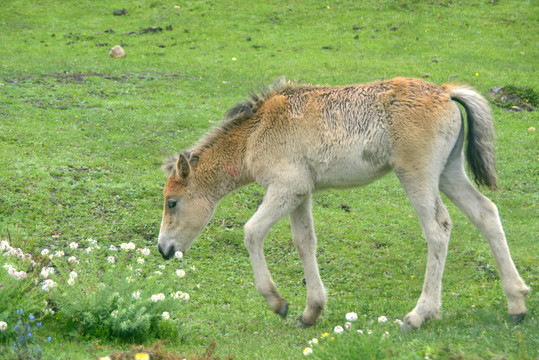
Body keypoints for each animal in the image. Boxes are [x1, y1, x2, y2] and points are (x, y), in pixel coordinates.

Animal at [158, 76, 528, 330]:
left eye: (172, 203)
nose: (163, 249)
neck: (255, 133)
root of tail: (445, 92)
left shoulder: (286, 187)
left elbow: (251, 232)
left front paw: (277, 302)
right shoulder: (301, 192)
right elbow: (304, 242)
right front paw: (311, 311)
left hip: (417, 175)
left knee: (438, 229)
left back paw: (419, 314)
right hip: (449, 172)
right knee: (486, 213)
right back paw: (517, 302)